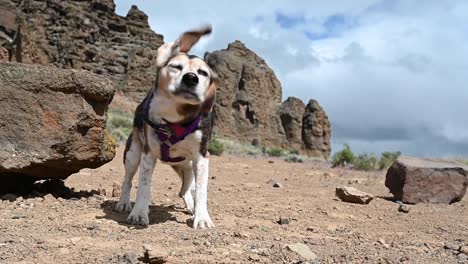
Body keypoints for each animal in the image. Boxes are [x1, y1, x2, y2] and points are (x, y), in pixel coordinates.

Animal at [114, 26, 217, 229]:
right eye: (175, 67)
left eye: (203, 73)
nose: (191, 78)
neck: (176, 118)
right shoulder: (148, 154)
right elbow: (143, 186)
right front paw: (139, 213)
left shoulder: (202, 157)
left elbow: (201, 191)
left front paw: (201, 218)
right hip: (132, 154)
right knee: (127, 180)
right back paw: (123, 203)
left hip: (187, 164)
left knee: (186, 189)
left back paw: (191, 206)